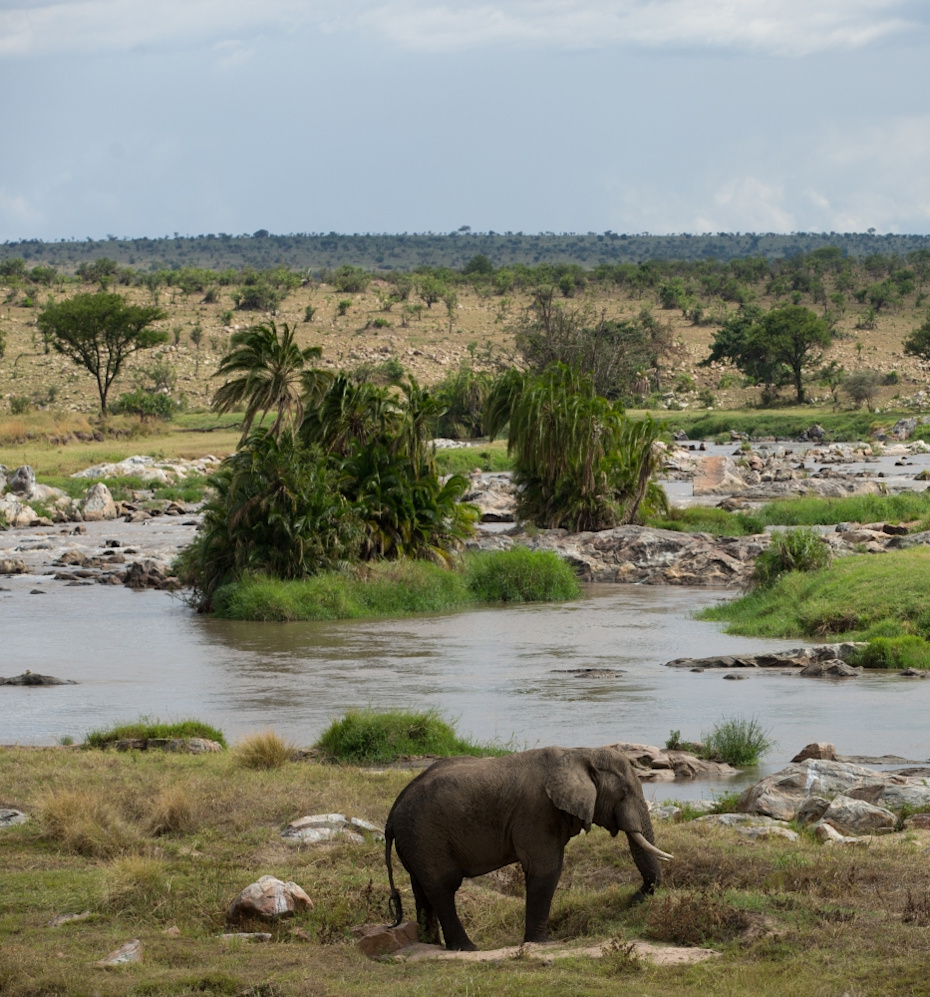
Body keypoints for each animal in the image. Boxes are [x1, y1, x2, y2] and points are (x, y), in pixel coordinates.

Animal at [384, 745, 672, 951]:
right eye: (624, 793)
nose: (637, 896)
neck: (580, 752)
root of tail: (392, 814)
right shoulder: (537, 811)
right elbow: (546, 870)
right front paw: (542, 943)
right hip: (426, 836)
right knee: (443, 887)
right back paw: (467, 948)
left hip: (416, 841)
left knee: (423, 889)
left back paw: (429, 945)